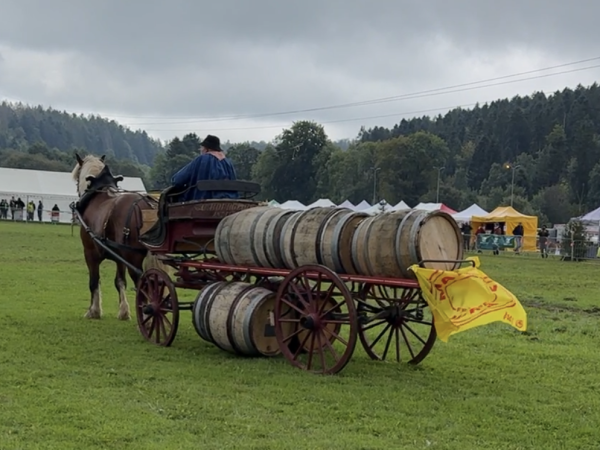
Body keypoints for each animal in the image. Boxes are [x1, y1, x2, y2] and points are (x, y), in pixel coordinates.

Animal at [71, 154, 164, 320]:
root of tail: (149, 205)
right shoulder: (120, 258)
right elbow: (120, 281)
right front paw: (124, 311)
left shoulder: (90, 253)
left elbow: (94, 281)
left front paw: (93, 311)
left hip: (133, 257)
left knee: (142, 282)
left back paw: (146, 314)